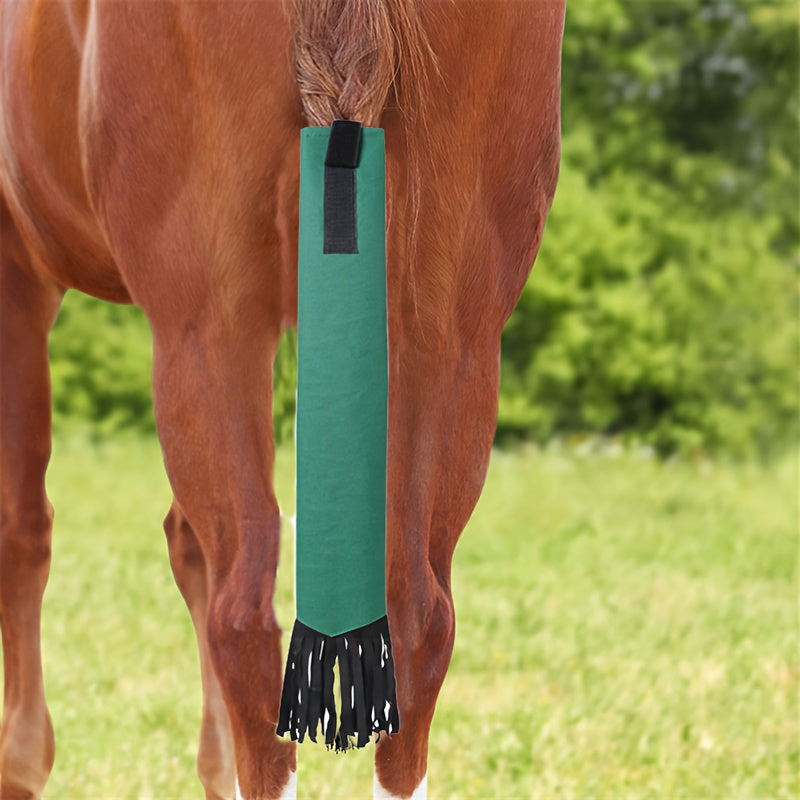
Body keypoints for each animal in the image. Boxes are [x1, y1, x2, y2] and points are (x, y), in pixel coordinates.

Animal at [0, 1, 565, 798]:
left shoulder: (17, 270)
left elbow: (23, 532)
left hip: (211, 325)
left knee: (242, 621)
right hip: (450, 334)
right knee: (415, 619)